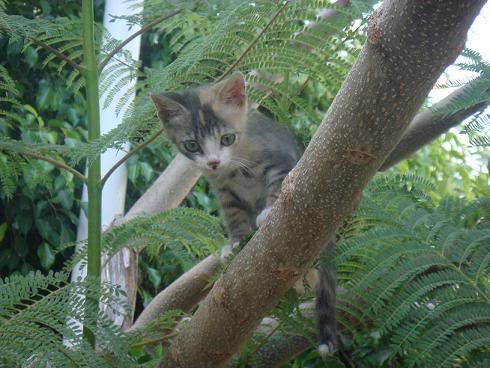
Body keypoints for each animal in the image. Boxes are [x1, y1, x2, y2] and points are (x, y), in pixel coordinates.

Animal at [151, 72, 338, 356]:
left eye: (226, 139)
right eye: (192, 145)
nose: (213, 161)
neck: (235, 167)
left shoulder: (280, 158)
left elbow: (279, 183)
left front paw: (269, 211)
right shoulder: (226, 191)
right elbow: (235, 217)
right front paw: (236, 243)